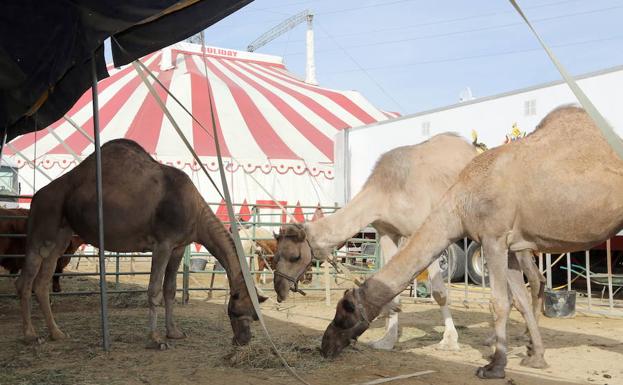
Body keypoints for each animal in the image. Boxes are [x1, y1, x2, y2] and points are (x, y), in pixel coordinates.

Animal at [16, 138, 266, 344]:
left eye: (256, 315)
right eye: (238, 311)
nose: (243, 340)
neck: (195, 212)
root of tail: (36, 197)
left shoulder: (178, 246)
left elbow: (170, 289)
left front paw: (174, 332)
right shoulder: (163, 243)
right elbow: (154, 290)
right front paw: (155, 339)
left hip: (62, 234)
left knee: (42, 281)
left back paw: (56, 333)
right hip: (42, 225)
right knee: (26, 280)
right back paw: (30, 335)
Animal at [276, 132, 544, 352]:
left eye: (294, 256)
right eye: (275, 254)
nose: (279, 288)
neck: (387, 190)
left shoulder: (424, 229)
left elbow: (439, 292)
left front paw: (449, 340)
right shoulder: (387, 232)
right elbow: (390, 288)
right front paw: (386, 341)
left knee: (532, 277)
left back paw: (524, 335)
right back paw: (497, 338)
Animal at [322, 106, 620, 380]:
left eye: (344, 312)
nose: (324, 345)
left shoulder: (493, 238)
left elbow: (498, 301)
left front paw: (493, 366)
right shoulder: (509, 245)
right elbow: (519, 299)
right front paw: (536, 357)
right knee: (536, 281)